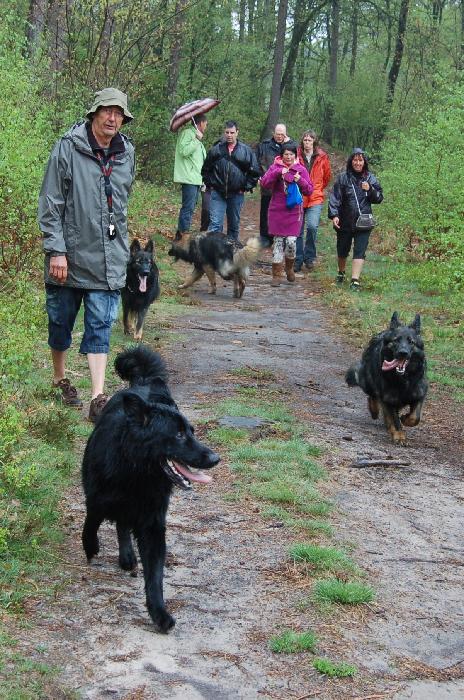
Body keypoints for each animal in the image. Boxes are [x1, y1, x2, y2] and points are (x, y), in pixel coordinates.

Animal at [81, 346, 220, 632]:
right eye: (178, 435)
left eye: (192, 431)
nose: (215, 458)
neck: (136, 473)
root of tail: (143, 382)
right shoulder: (97, 499)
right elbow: (91, 522)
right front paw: (90, 546)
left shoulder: (153, 523)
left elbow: (155, 575)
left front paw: (158, 612)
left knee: (123, 525)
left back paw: (127, 556)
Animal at [345, 312, 428, 444]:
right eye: (396, 340)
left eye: (411, 342)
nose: (403, 353)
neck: (403, 379)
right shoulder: (388, 399)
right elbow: (394, 419)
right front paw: (399, 435)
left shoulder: (420, 394)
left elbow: (415, 417)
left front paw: (405, 419)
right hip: (369, 382)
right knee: (372, 396)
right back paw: (374, 410)